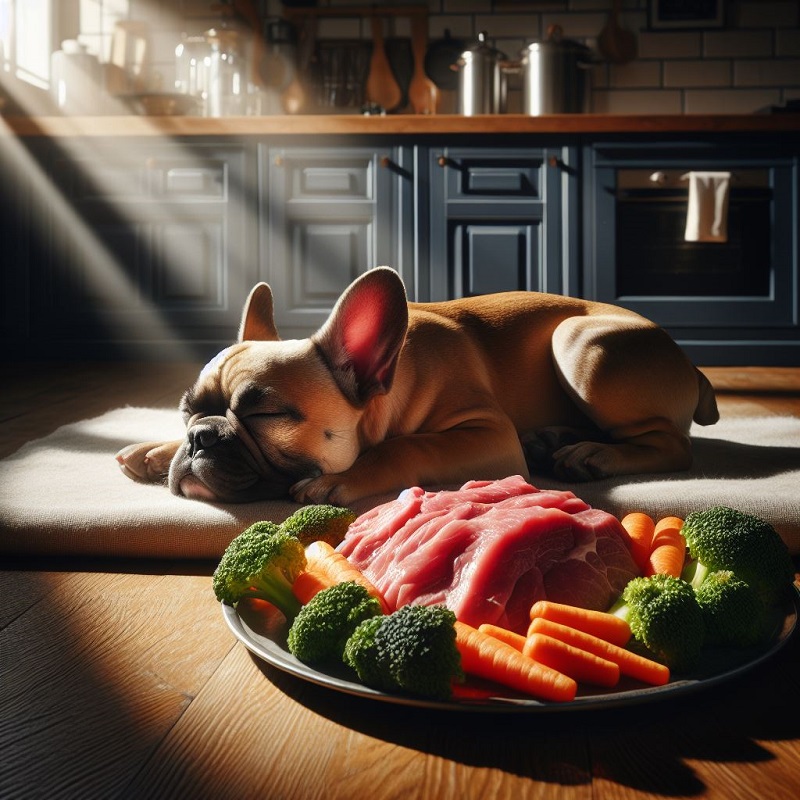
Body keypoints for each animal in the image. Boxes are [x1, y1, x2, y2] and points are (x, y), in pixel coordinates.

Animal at [117, 268, 720, 506]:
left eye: (266, 416)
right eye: (187, 411)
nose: (199, 439)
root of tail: (689, 365)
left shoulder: (488, 435)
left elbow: (408, 447)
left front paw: (344, 479)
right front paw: (156, 449)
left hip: (578, 344)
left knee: (673, 445)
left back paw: (594, 454)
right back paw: (554, 441)